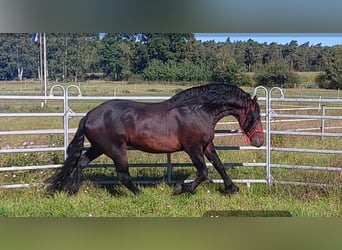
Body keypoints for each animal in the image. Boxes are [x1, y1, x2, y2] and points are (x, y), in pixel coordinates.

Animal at [46, 83, 264, 195]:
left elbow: (219, 165)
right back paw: (141, 194)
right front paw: (181, 188)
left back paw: (72, 189)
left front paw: (232, 188)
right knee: (123, 175)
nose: (259, 142)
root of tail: (89, 116)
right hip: (116, 149)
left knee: (81, 162)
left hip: (99, 147)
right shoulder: (193, 148)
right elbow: (203, 172)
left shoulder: (207, 145)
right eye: (256, 116)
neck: (198, 110)